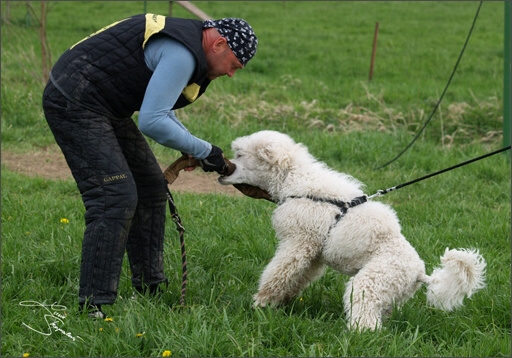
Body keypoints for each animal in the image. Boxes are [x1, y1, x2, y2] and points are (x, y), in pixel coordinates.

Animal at [217, 131, 488, 330]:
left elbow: (277, 273)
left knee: (367, 323)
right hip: (387, 295)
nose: (222, 169)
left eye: (239, 153)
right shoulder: (313, 254)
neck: (294, 180)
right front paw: (279, 303)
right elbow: (295, 278)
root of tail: (420, 274)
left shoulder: (298, 243)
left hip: (369, 283)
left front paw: (260, 303)